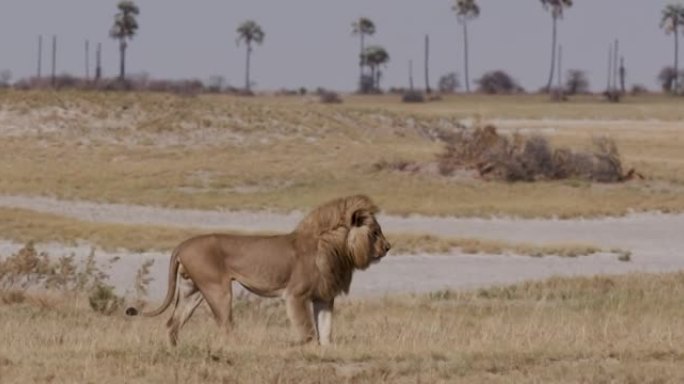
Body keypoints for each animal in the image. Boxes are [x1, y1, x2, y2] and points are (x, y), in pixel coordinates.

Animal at [124, 194, 390, 346]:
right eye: (375, 232)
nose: (388, 247)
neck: (336, 249)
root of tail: (182, 244)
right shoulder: (296, 294)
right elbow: (308, 331)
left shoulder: (324, 297)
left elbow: (326, 331)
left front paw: (325, 352)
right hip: (218, 289)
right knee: (225, 325)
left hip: (192, 291)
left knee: (173, 323)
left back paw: (175, 350)